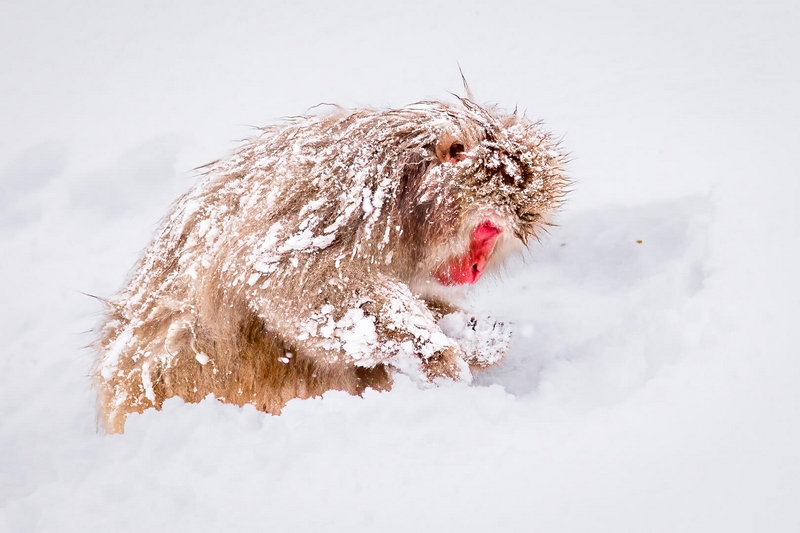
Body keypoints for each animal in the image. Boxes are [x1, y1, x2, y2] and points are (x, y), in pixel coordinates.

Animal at [95, 98, 568, 432]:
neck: (410, 192)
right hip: (220, 378)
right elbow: (286, 276)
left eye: (497, 237)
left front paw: (475, 336)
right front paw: (433, 352)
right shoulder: (355, 194)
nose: (475, 268)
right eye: (486, 228)